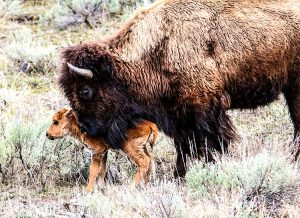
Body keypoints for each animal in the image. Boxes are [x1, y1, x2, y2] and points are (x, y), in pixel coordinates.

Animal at [59, 0, 300, 177]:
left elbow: (211, 141)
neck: (157, 48)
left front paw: (209, 168)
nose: (85, 128)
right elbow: (183, 146)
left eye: (85, 90)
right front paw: (179, 174)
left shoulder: (205, 109)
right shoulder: (177, 116)